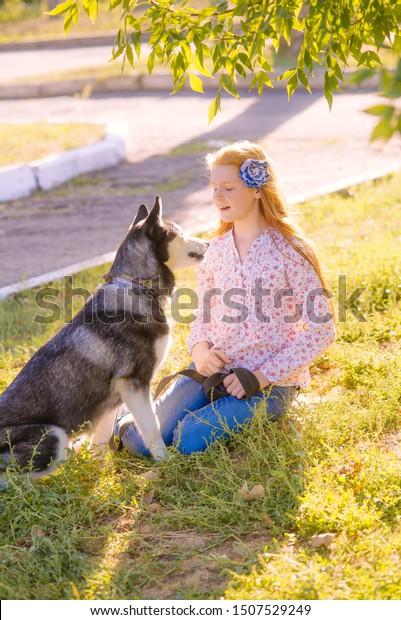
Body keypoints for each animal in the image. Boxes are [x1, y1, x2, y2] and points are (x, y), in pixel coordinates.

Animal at [0, 196, 206, 478]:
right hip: (52, 435)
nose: (208, 243)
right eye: (179, 232)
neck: (136, 286)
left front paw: (100, 473)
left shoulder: (115, 396)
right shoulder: (133, 384)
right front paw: (166, 462)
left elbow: (100, 442)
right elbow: (151, 428)